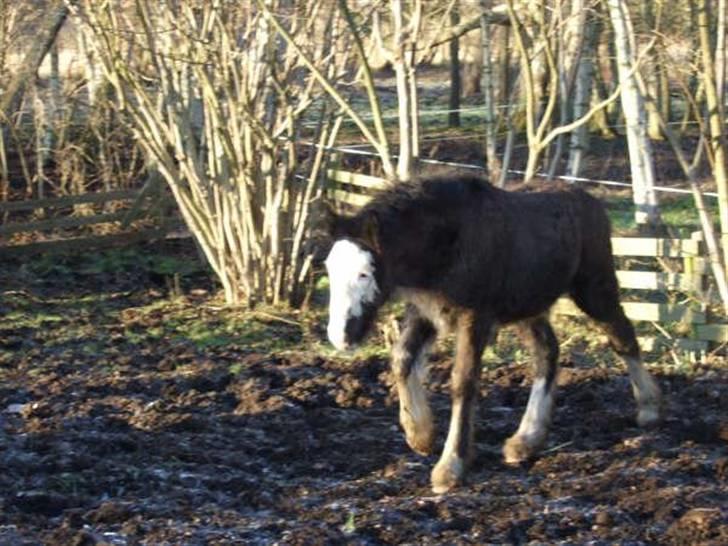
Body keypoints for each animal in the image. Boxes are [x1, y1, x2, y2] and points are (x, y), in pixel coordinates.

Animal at [323, 174, 662, 494]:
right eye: (328, 269)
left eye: (364, 273)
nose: (340, 336)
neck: (447, 242)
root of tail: (589, 199)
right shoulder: (426, 311)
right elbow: (402, 360)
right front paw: (420, 434)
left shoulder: (475, 317)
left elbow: (463, 381)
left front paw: (451, 466)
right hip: (528, 306)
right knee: (547, 352)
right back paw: (526, 439)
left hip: (594, 288)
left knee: (622, 337)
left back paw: (648, 408)